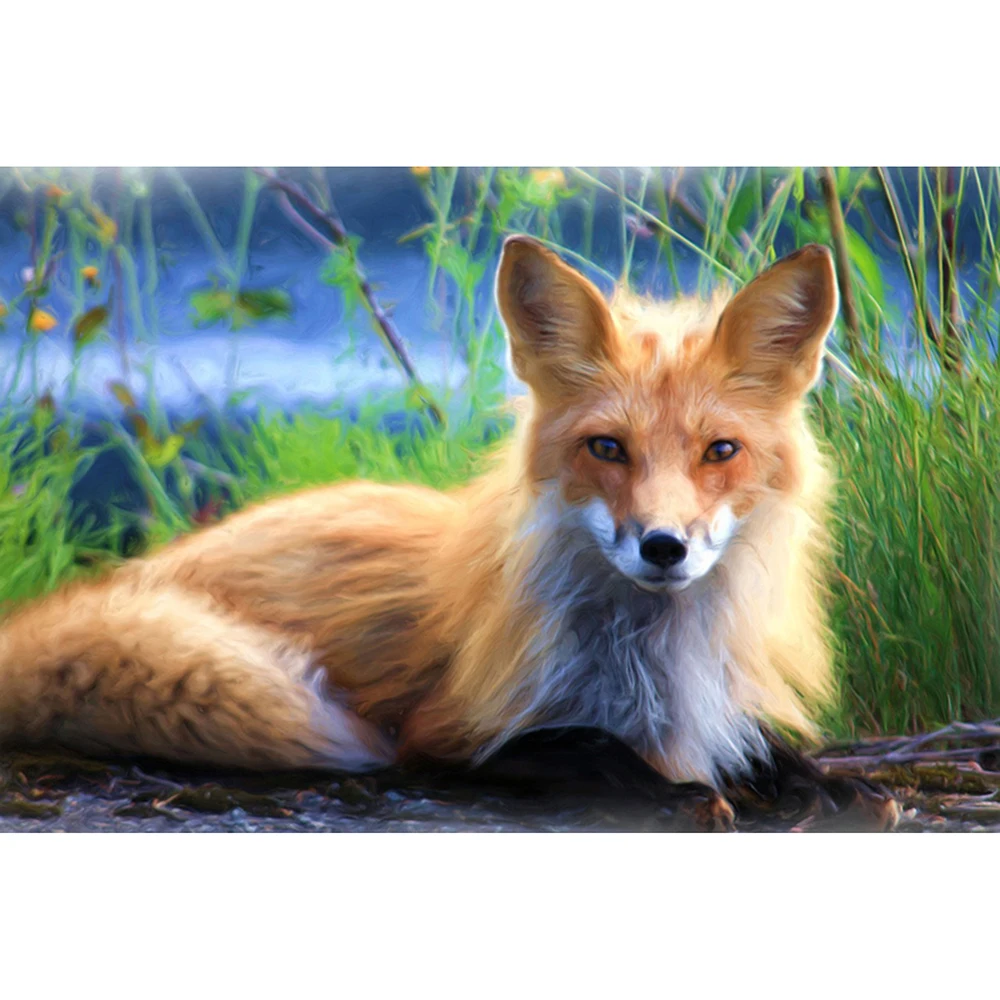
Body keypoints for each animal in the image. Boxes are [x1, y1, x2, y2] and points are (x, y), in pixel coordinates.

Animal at [0, 235, 897, 829]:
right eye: (607, 448)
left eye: (721, 451)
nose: (663, 546)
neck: (652, 661)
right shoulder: (445, 734)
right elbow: (584, 746)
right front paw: (677, 793)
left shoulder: (721, 700)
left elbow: (762, 743)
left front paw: (826, 785)